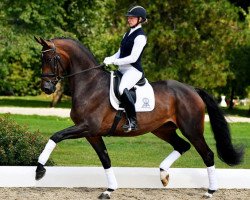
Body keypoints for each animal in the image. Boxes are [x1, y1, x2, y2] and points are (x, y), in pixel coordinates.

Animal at [34, 37, 243, 198]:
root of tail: (192, 89)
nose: (47, 88)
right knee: (182, 146)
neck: (90, 84)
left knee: (207, 154)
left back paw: (210, 191)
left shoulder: (87, 127)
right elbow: (105, 158)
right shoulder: (92, 133)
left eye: (51, 58)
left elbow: (56, 136)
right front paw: (109, 190)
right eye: (41, 59)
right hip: (163, 129)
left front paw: (39, 170)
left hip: (192, 130)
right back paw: (163, 175)